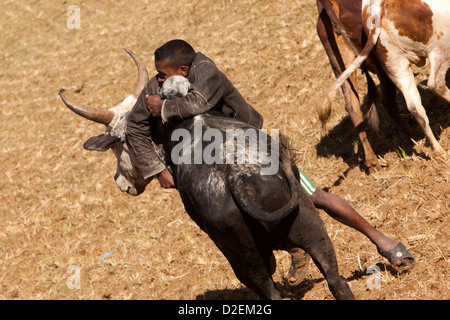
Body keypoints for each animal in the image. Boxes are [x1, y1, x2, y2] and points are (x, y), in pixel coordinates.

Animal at [59, 50, 356, 300]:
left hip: (245, 262)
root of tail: (240, 179)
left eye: (119, 144)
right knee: (336, 281)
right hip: (313, 229)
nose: (121, 182)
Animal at [322, 0, 448, 155]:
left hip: (395, 65)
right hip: (440, 48)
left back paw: (436, 149)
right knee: (435, 84)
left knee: (413, 107)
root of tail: (377, 7)